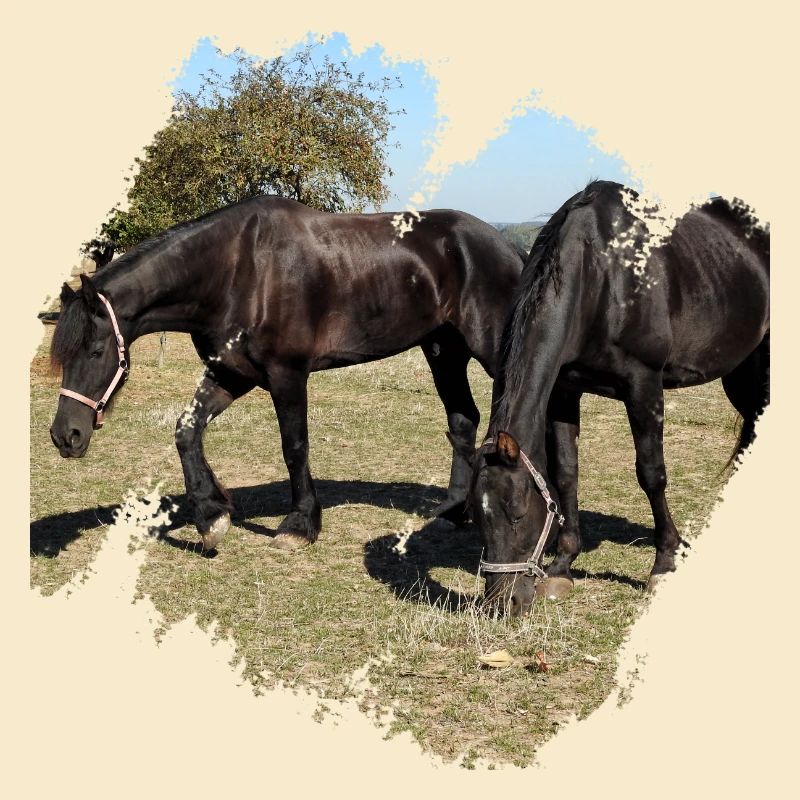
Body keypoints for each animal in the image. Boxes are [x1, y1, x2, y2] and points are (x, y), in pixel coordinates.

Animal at [49, 196, 524, 551]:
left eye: (95, 351)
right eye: (63, 356)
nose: (65, 436)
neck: (238, 270)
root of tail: (506, 246)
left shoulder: (287, 374)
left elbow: (294, 446)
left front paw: (300, 525)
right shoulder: (231, 373)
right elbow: (187, 431)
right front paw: (211, 515)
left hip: (489, 350)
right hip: (443, 351)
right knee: (462, 420)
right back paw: (454, 512)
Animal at [471, 180, 769, 616]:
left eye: (517, 513)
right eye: (477, 516)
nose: (502, 604)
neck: (601, 275)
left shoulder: (643, 385)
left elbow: (651, 473)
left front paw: (663, 563)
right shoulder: (565, 390)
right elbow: (566, 472)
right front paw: (562, 565)